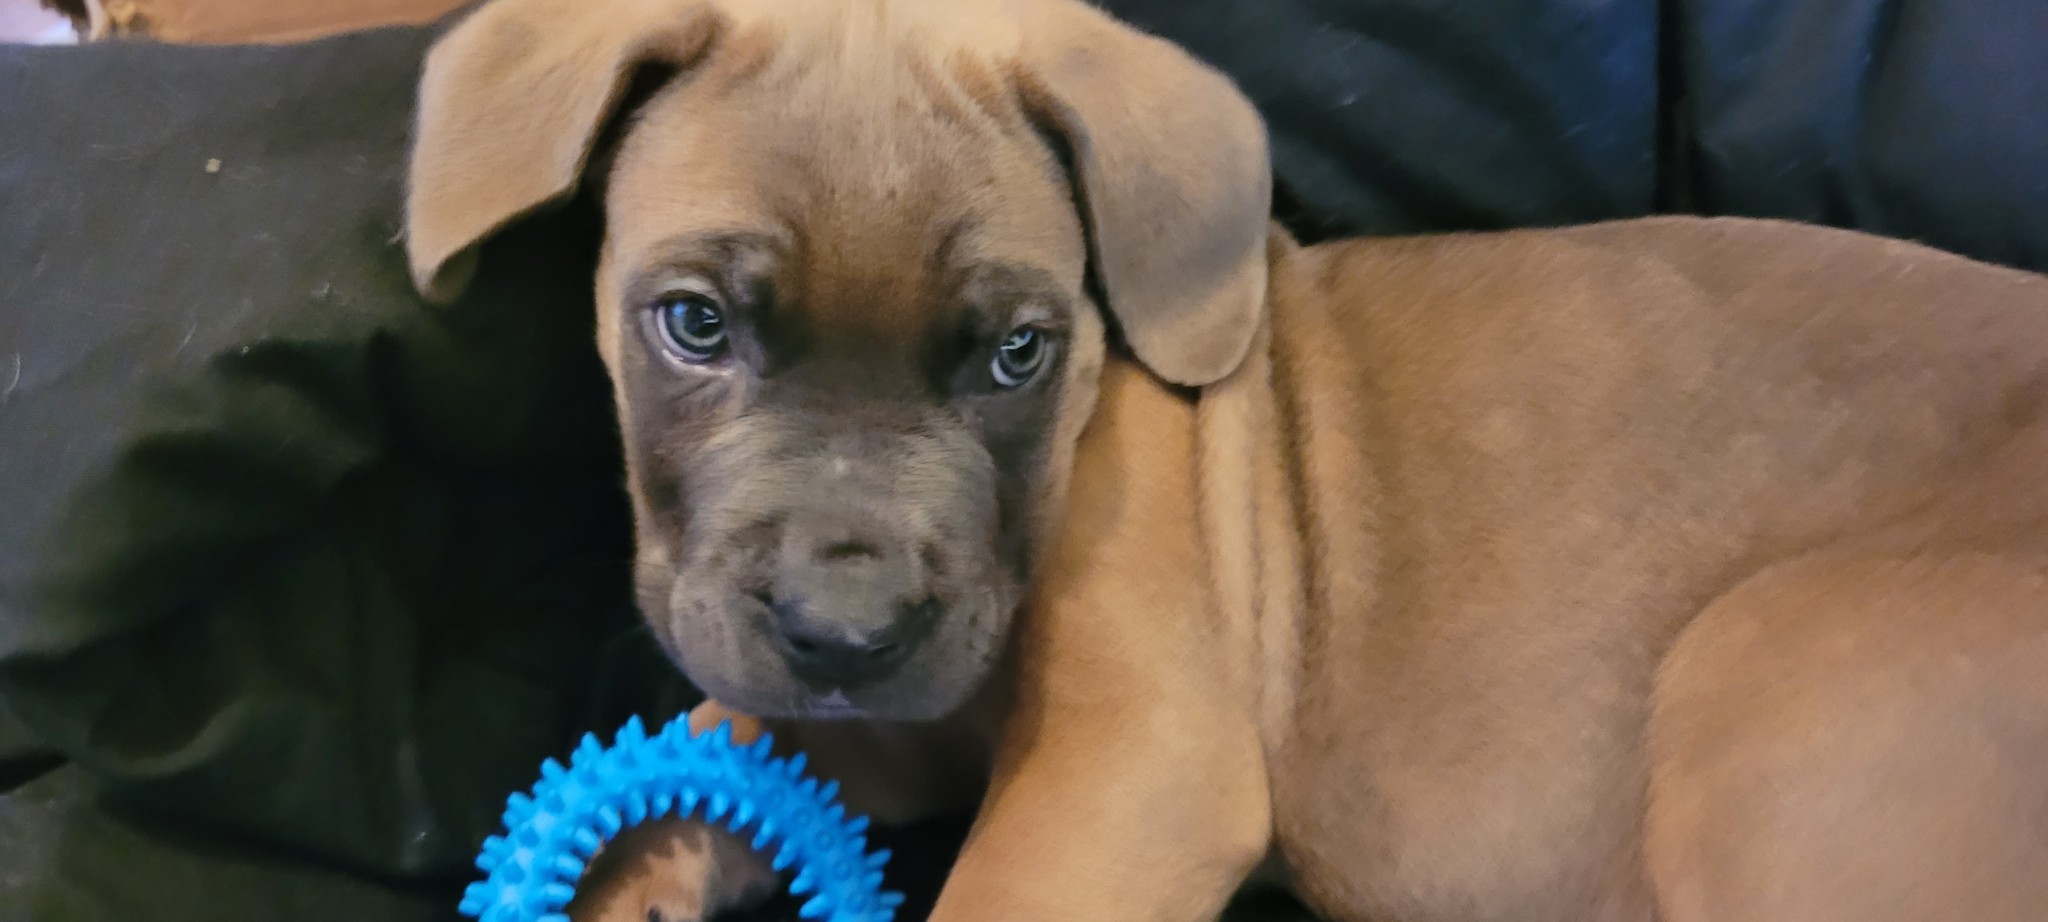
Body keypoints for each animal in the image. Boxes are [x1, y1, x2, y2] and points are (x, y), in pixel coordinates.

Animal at [402, 0, 2048, 919]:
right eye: (691, 324)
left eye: (1019, 352)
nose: (846, 628)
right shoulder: (883, 717)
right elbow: (724, 741)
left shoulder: (1136, 769)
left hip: (1776, 667)